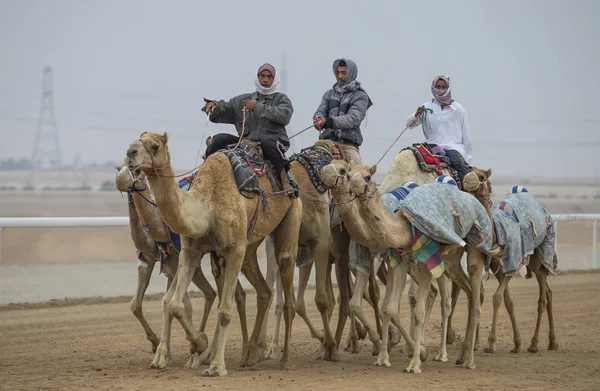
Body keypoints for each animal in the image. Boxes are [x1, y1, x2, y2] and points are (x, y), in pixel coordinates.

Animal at [126, 132, 304, 376]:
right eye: (136, 140)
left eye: (154, 146)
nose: (130, 153)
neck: (207, 206)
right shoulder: (190, 251)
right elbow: (174, 304)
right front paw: (199, 344)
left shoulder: (235, 249)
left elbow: (224, 311)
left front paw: (216, 366)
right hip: (250, 245)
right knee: (264, 291)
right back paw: (249, 355)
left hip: (290, 215)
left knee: (286, 281)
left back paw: (283, 359)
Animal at [322, 160, 500, 374]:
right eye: (348, 175)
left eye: (368, 176)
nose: (355, 184)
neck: (404, 225)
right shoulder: (393, 258)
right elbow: (383, 306)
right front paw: (385, 356)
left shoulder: (421, 261)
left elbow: (417, 311)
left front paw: (415, 360)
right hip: (450, 261)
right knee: (460, 295)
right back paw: (458, 354)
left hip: (473, 250)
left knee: (470, 300)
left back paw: (465, 359)